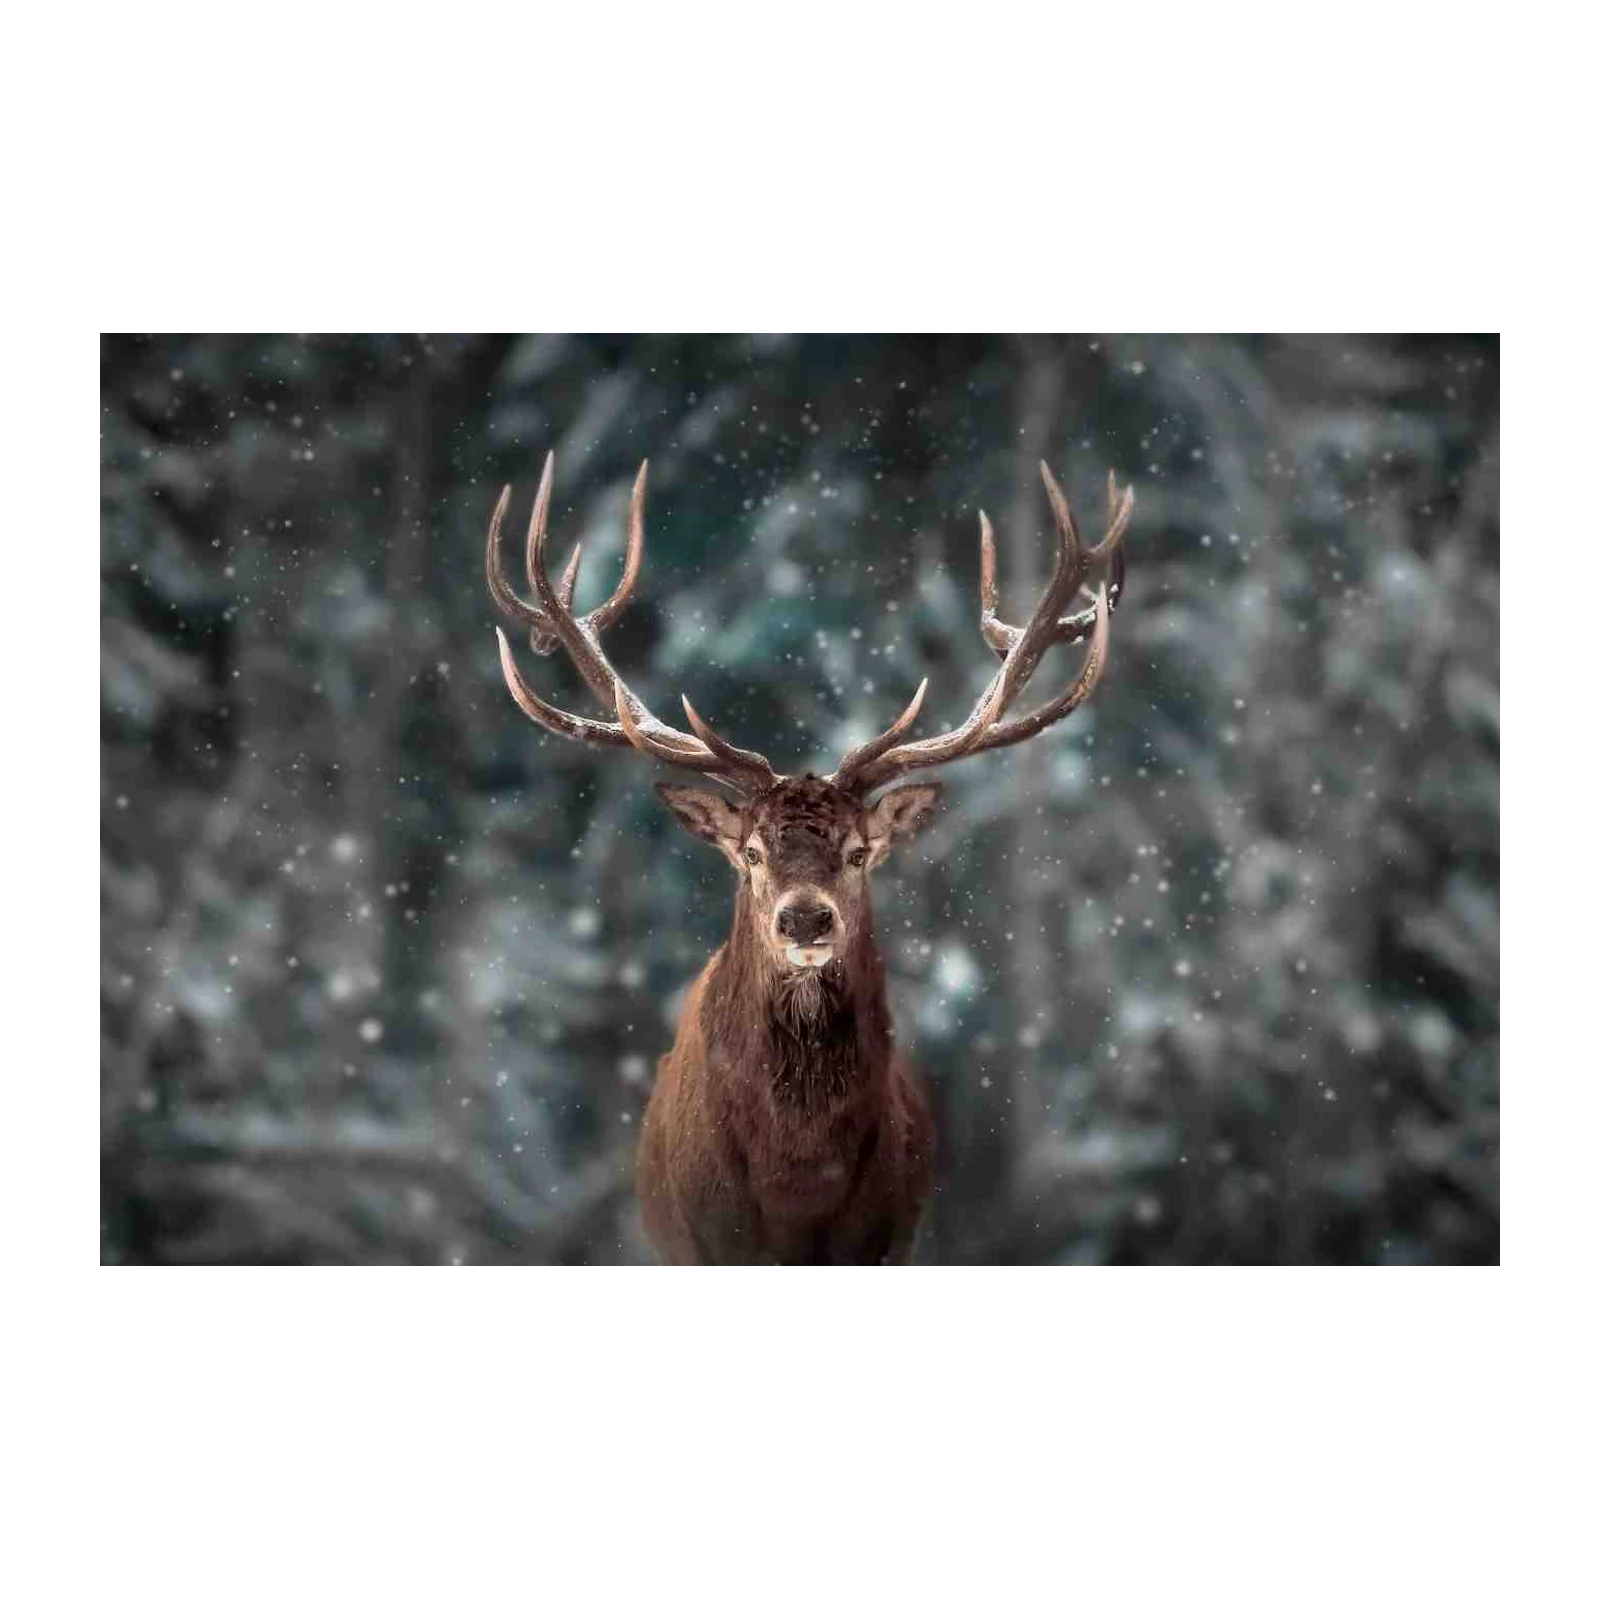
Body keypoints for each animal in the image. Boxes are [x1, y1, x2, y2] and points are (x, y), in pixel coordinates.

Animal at [484, 452, 1131, 1270]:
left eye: (858, 852)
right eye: (752, 852)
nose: (804, 920)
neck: (797, 1179)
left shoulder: (882, 1239)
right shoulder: (710, 1242)